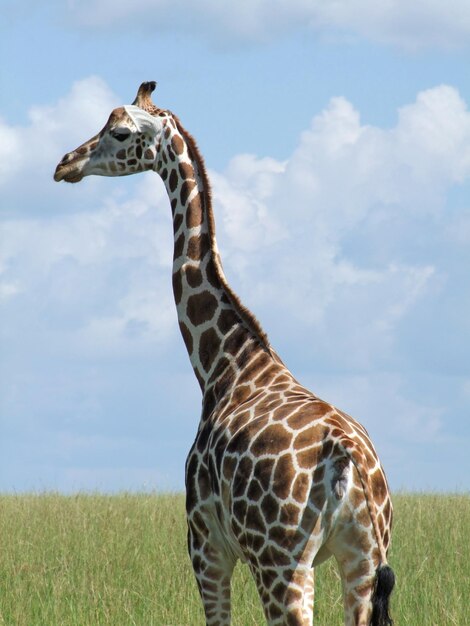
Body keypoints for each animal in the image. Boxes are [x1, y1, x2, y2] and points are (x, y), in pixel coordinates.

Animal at [53, 83, 394, 624]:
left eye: (119, 132)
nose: (65, 163)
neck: (224, 365)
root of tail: (350, 457)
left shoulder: (205, 544)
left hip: (281, 561)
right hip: (363, 558)